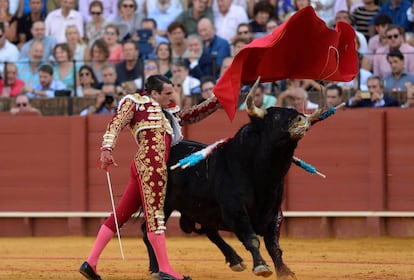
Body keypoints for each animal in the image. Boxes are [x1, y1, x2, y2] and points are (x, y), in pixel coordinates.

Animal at [144, 76, 326, 278]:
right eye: (276, 116)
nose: (302, 119)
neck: (263, 176)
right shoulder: (235, 210)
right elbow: (252, 239)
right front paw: (261, 266)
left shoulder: (274, 213)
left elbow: (274, 245)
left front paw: (284, 271)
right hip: (163, 204)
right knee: (149, 231)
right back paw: (156, 269)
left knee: (210, 231)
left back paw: (235, 260)